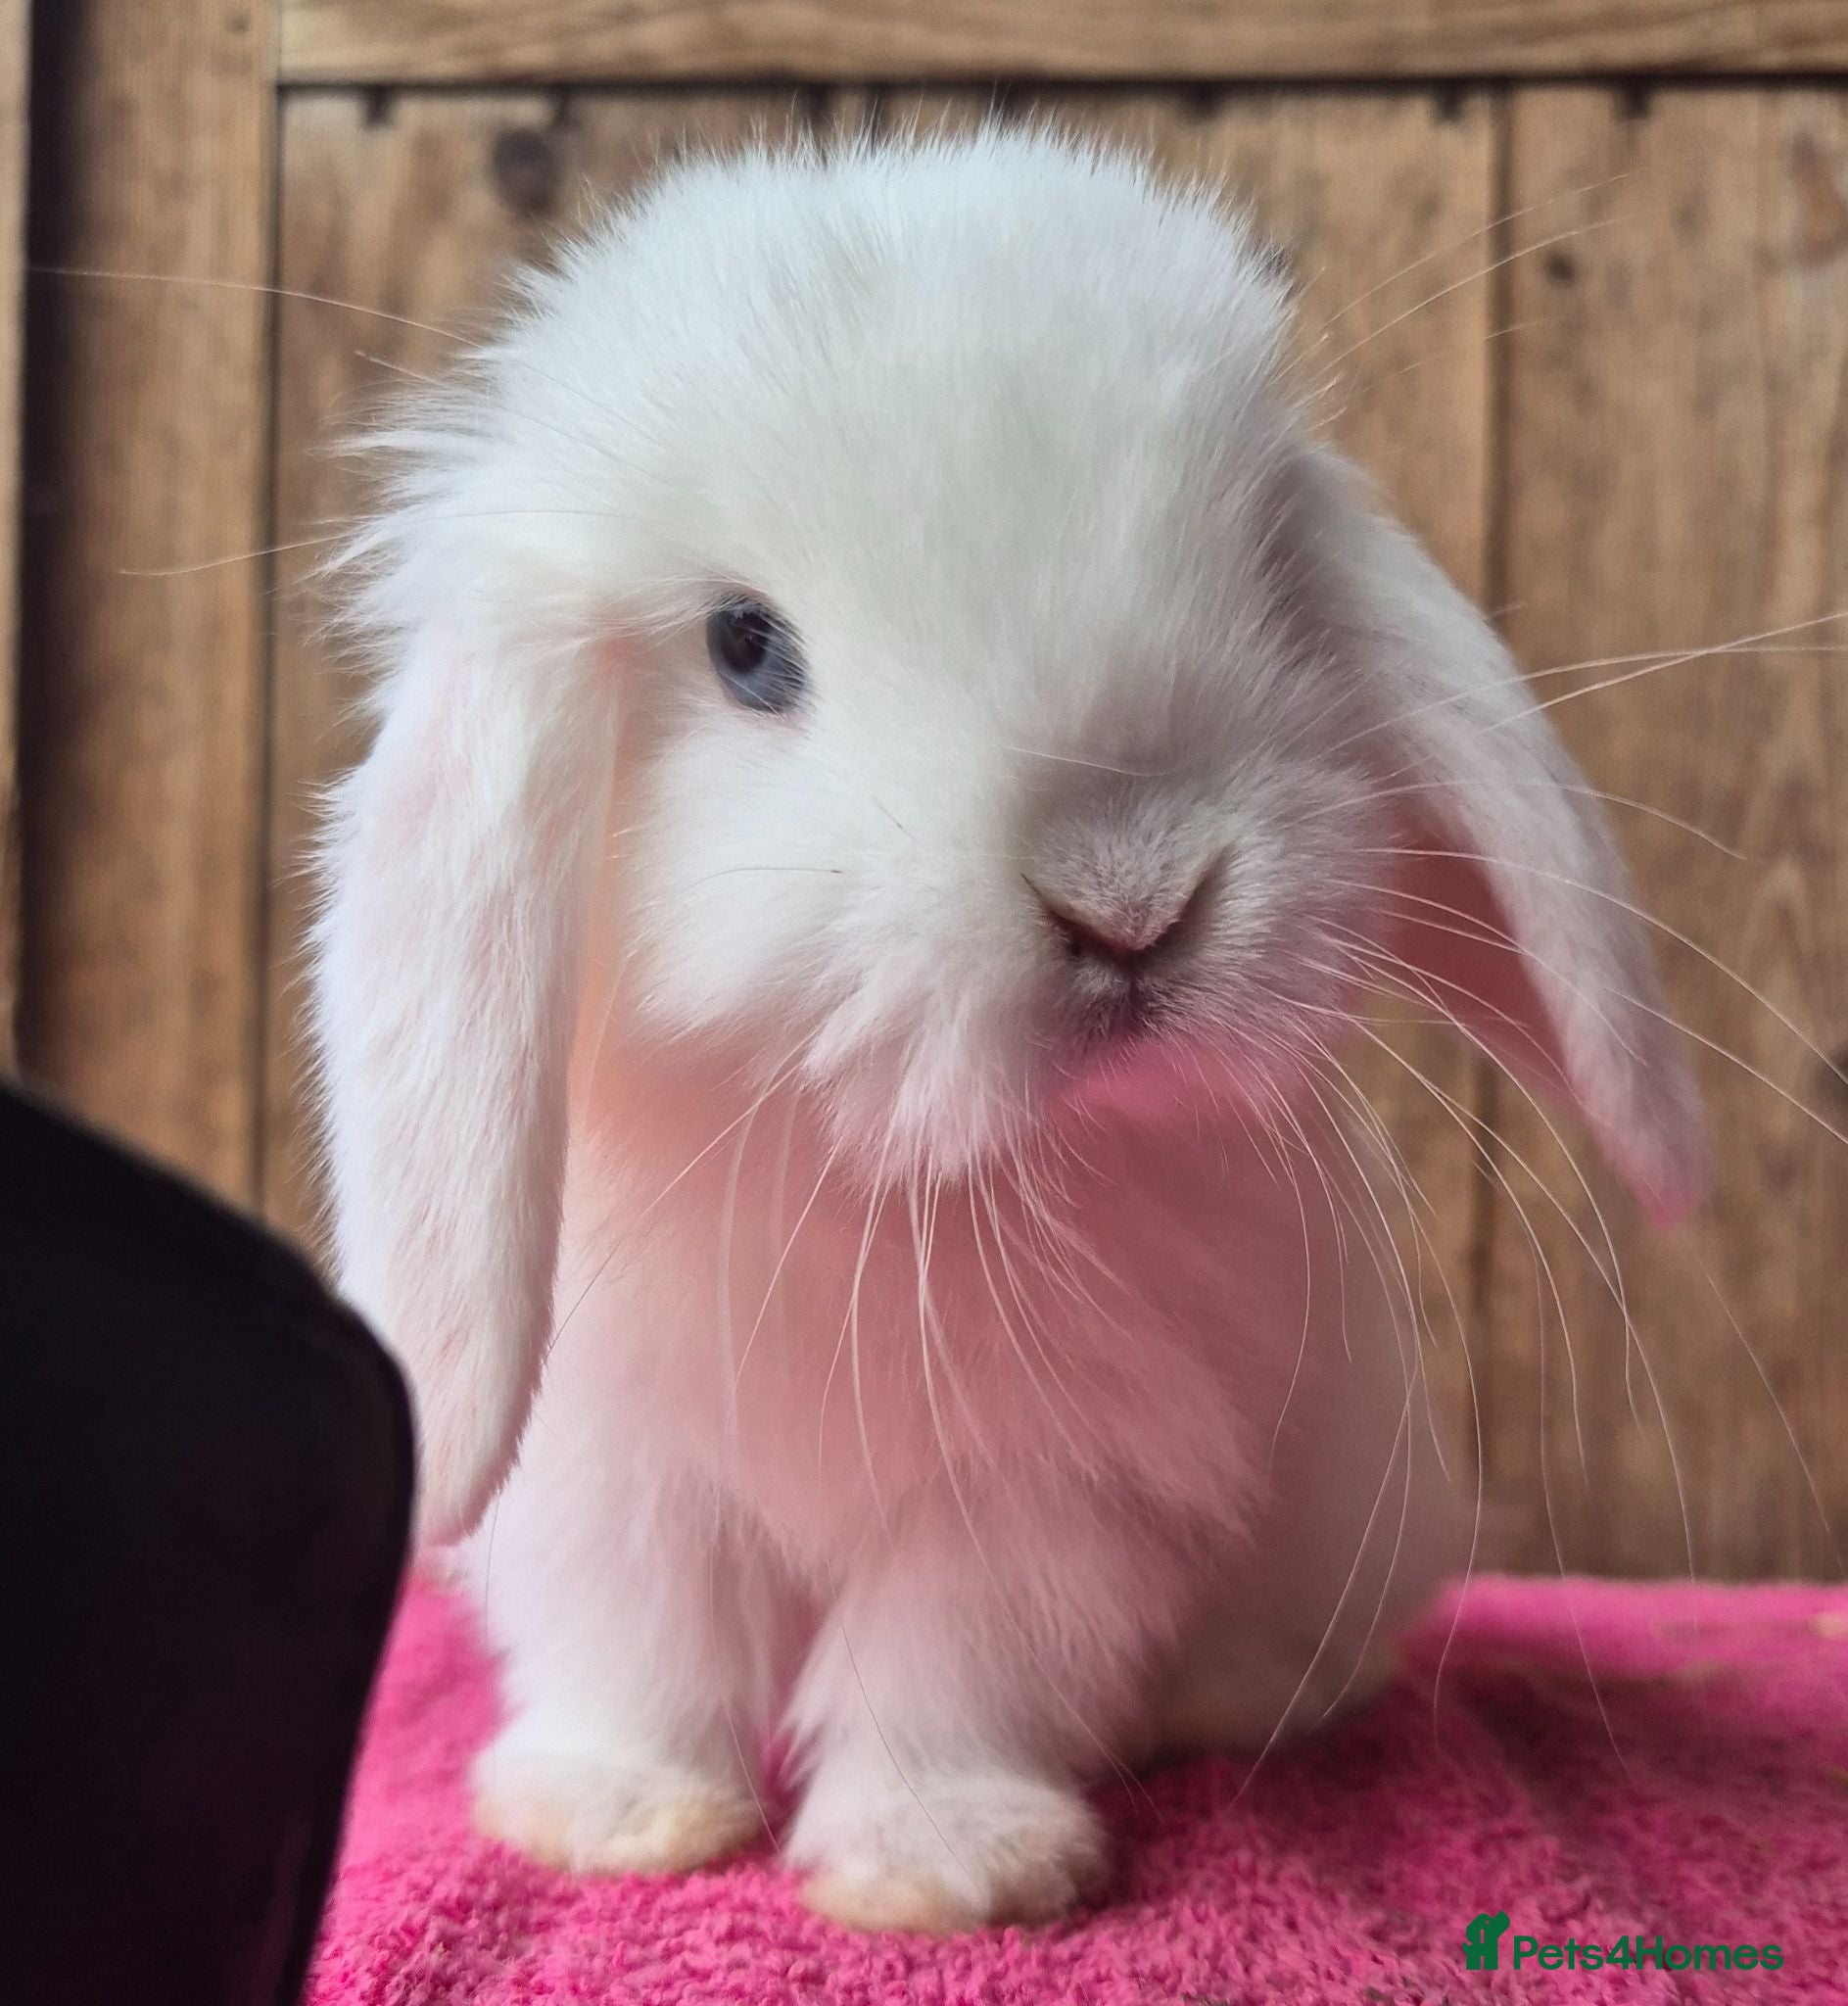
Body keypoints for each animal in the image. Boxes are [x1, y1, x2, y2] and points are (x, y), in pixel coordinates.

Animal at [309, 127, 1706, 1933]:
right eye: (744, 648)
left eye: (1263, 580)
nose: (1129, 894)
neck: (884, 1175)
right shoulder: (612, 1471)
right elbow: (642, 1642)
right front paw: (610, 1818)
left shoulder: (1042, 1496)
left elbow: (945, 1669)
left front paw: (937, 1870)